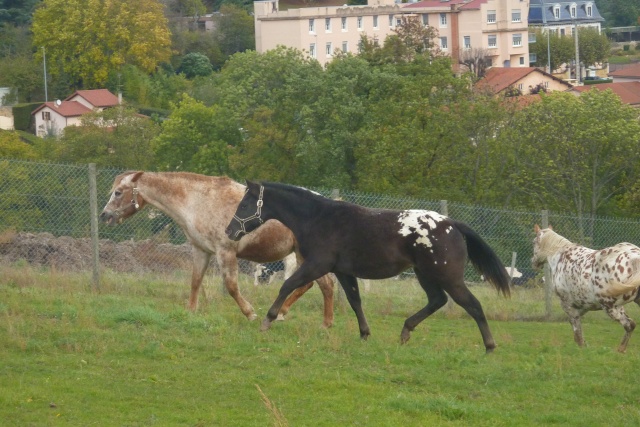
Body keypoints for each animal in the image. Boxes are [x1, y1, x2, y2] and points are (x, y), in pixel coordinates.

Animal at [100, 171, 336, 328]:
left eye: (118, 192)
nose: (105, 215)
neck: (197, 202)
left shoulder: (225, 252)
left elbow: (231, 287)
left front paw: (250, 314)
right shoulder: (201, 251)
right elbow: (195, 281)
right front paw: (190, 312)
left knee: (322, 284)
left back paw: (311, 320)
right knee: (318, 284)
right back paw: (312, 320)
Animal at [225, 181, 510, 354]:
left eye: (245, 204)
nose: (230, 230)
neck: (319, 218)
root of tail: (453, 224)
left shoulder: (318, 264)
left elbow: (288, 285)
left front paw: (268, 320)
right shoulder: (342, 271)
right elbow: (355, 301)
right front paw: (364, 334)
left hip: (448, 277)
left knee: (472, 305)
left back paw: (489, 346)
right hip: (425, 274)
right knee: (437, 300)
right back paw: (405, 332)